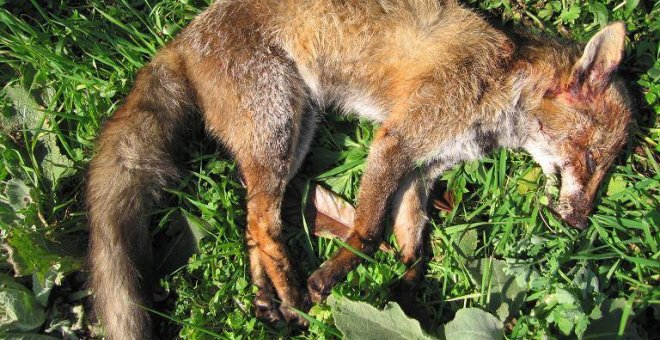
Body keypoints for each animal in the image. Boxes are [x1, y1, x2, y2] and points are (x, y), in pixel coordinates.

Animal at [85, 1, 632, 338]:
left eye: (606, 167)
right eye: (589, 159)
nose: (578, 222)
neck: (500, 82)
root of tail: (185, 36)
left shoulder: (422, 170)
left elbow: (415, 248)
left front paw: (406, 296)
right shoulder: (396, 143)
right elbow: (369, 231)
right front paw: (329, 279)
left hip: (293, 136)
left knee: (253, 223)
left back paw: (267, 300)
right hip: (279, 126)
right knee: (263, 222)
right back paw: (295, 296)